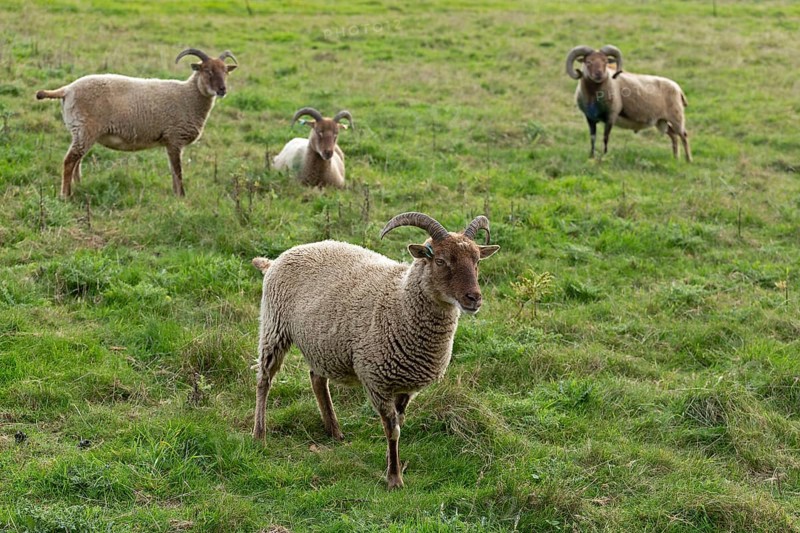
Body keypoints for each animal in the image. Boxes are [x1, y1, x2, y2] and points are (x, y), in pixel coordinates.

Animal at [36, 48, 237, 198]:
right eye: (207, 70)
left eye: (225, 72)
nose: (222, 89)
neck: (189, 96)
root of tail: (67, 89)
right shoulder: (174, 138)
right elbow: (178, 172)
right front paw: (181, 197)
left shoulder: (170, 142)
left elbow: (173, 172)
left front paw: (175, 196)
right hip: (86, 129)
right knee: (69, 161)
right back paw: (65, 195)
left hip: (81, 131)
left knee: (77, 160)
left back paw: (78, 186)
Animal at [251, 212, 500, 490]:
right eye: (440, 260)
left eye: (477, 261)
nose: (474, 298)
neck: (400, 301)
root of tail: (277, 259)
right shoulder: (377, 381)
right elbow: (392, 429)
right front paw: (394, 478)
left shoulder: (405, 386)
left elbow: (399, 424)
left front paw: (393, 462)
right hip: (274, 326)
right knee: (264, 379)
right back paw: (259, 434)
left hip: (323, 345)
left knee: (316, 379)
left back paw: (334, 430)